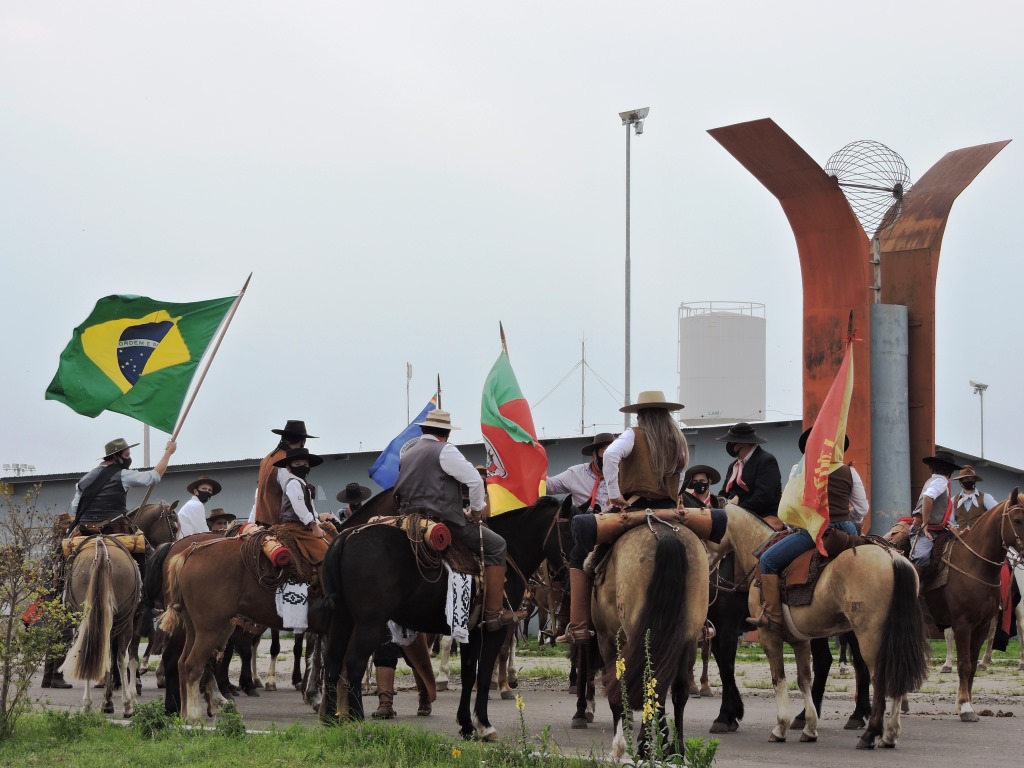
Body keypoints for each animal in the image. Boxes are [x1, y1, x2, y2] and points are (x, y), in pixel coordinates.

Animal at [61, 536, 142, 720]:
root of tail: (101, 548)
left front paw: (107, 703)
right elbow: (120, 660)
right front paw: (117, 702)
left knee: (87, 652)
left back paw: (86, 706)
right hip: (125, 624)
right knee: (120, 658)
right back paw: (127, 706)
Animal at [321, 495, 573, 741]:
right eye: (570, 529)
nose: (569, 576)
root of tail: (346, 538)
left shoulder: (471, 632)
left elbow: (468, 675)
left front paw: (467, 725)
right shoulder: (493, 630)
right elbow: (482, 676)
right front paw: (484, 726)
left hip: (342, 618)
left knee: (332, 661)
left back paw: (330, 719)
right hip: (369, 624)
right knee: (354, 663)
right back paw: (357, 719)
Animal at [585, 518, 712, 757]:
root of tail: (666, 535)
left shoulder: (607, 640)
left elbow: (619, 689)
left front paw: (619, 744)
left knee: (651, 683)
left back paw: (647, 744)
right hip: (688, 638)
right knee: (676, 688)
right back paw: (675, 748)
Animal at [708, 507, 933, 749]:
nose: (705, 569)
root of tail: (892, 557)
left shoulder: (766, 635)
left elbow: (776, 678)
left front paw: (778, 727)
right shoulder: (799, 640)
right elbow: (804, 679)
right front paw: (809, 727)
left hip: (869, 636)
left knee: (878, 677)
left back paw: (871, 733)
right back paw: (888, 734)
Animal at [921, 493, 1024, 720]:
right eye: (1018, 520)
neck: (974, 564)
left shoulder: (979, 624)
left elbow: (971, 663)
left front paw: (965, 704)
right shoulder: (962, 623)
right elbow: (965, 663)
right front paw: (965, 706)